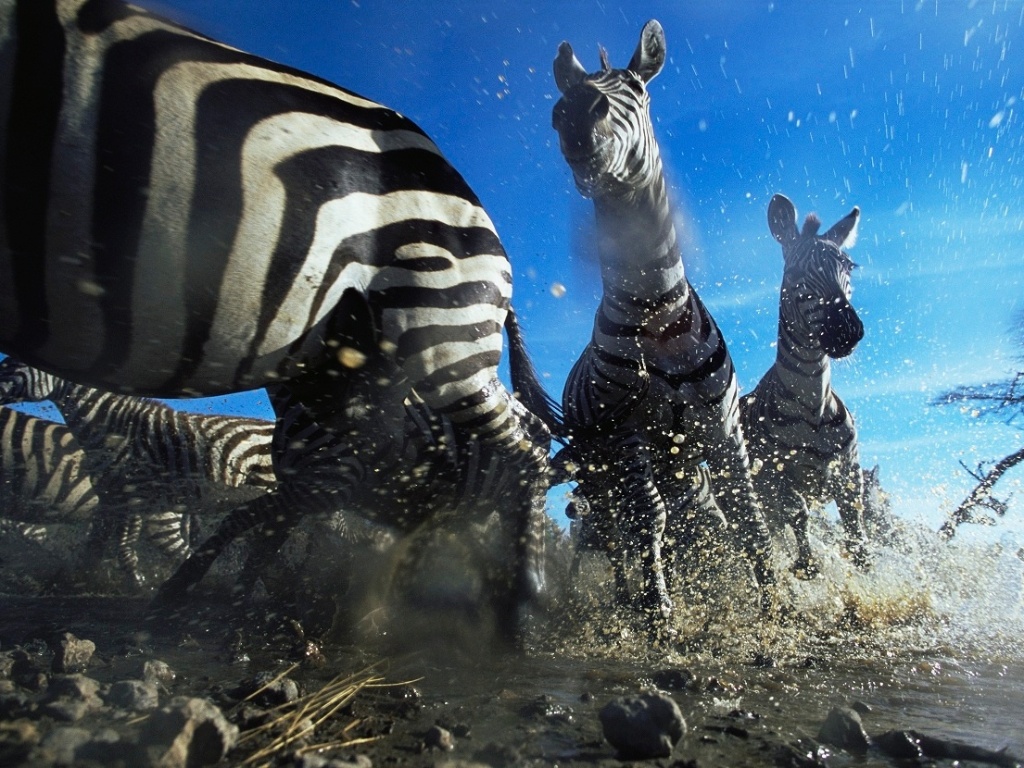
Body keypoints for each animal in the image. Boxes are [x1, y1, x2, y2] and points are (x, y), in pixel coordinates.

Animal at [0, 357, 275, 588]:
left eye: (12, 365)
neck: (114, 427)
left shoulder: (131, 498)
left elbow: (123, 550)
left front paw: (139, 585)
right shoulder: (113, 500)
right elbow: (96, 548)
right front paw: (77, 581)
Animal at [550, 20, 776, 633]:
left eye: (636, 88)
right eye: (562, 103)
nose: (573, 120)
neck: (657, 313)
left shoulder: (722, 430)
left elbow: (748, 518)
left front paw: (779, 607)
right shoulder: (631, 437)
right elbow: (649, 521)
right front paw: (660, 621)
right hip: (600, 472)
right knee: (617, 535)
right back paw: (633, 602)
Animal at [740, 194, 869, 579]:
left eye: (849, 267)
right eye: (797, 275)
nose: (847, 331)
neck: (813, 407)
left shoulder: (849, 472)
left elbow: (857, 528)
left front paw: (866, 568)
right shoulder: (775, 478)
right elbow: (798, 510)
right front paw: (807, 567)